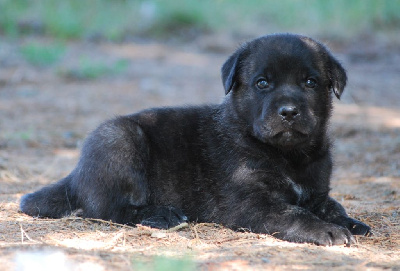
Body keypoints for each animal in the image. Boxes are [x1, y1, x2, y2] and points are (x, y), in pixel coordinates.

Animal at [20, 33, 370, 246]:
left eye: (311, 82)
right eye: (262, 83)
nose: (289, 112)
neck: (288, 155)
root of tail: (75, 174)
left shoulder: (316, 192)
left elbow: (331, 206)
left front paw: (351, 223)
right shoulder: (251, 202)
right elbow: (294, 213)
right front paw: (327, 230)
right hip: (118, 139)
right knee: (107, 209)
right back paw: (161, 214)